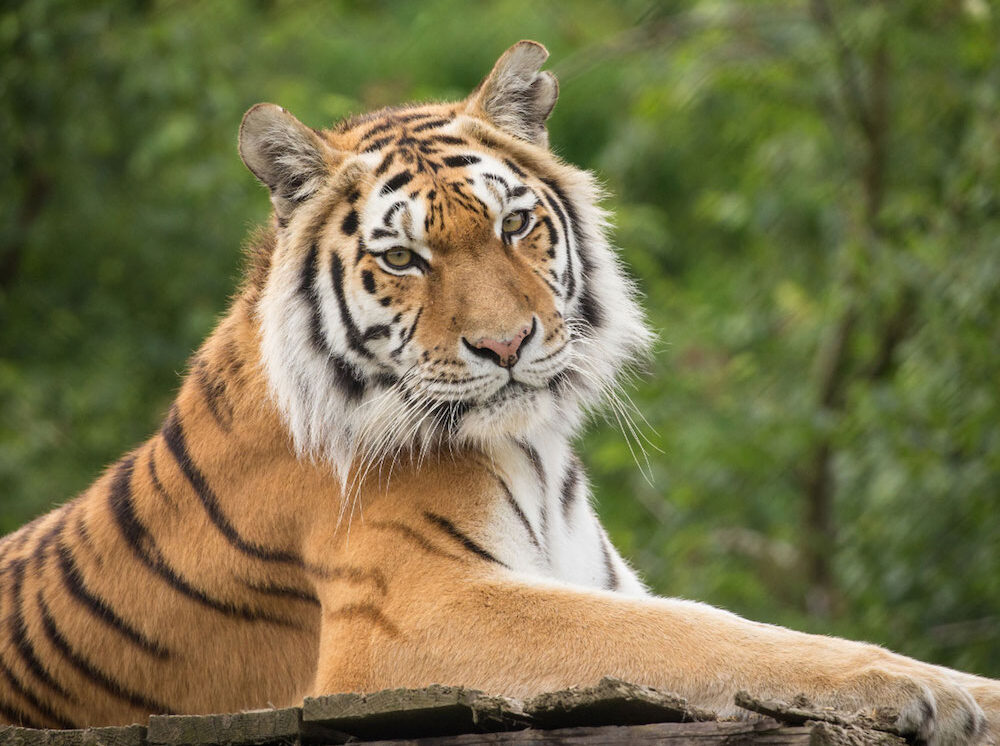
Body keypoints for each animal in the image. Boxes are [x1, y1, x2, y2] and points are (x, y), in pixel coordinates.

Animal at [1, 42, 1000, 744]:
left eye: (516, 225)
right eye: (405, 258)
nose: (507, 344)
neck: (531, 446)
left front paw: (970, 690)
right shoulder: (413, 618)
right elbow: (703, 637)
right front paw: (920, 689)